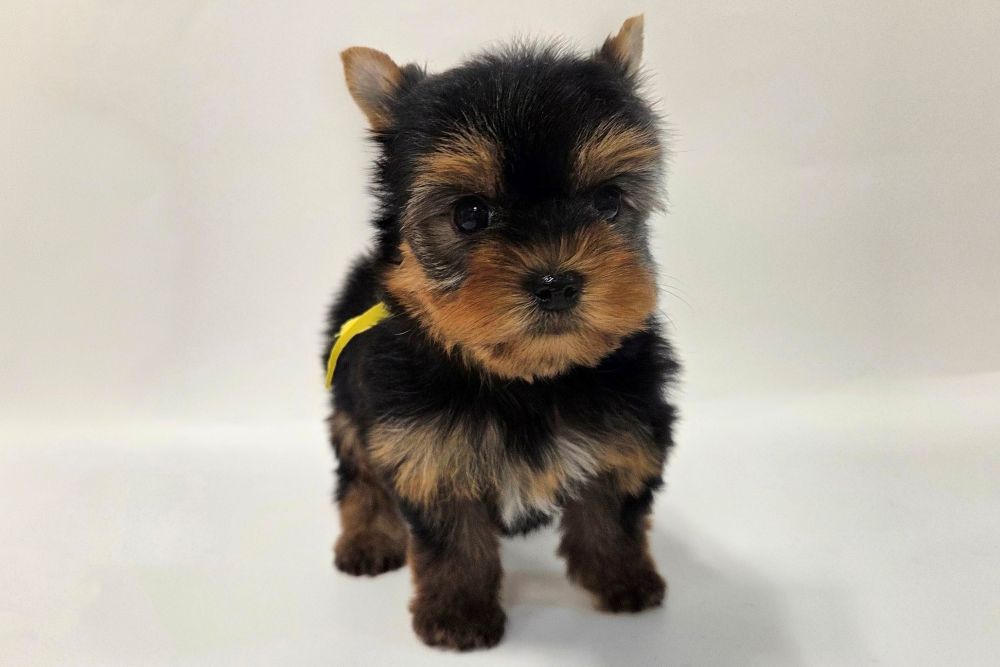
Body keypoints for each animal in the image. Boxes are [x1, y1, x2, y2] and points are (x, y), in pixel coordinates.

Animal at [322, 15, 679, 651]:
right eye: (469, 215)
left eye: (608, 201)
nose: (556, 282)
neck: (526, 379)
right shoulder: (428, 448)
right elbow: (454, 542)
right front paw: (458, 615)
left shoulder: (629, 425)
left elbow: (612, 511)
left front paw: (622, 580)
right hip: (349, 401)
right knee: (358, 472)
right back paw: (368, 538)